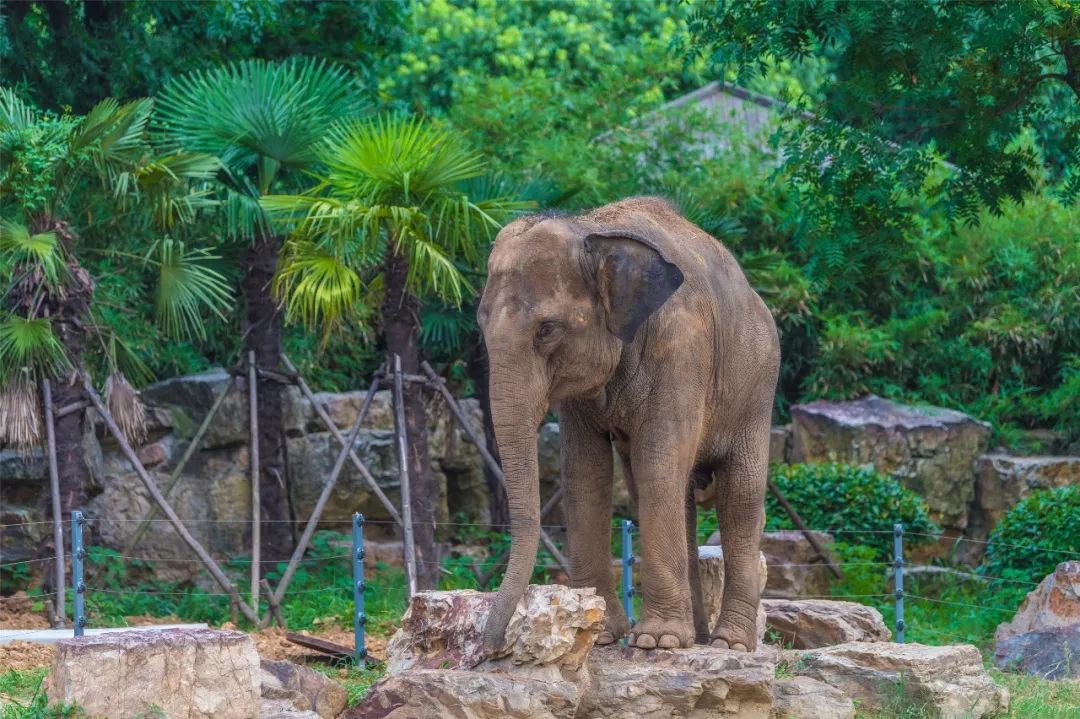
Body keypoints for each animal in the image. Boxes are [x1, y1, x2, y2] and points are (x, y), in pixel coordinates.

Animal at [479, 194, 777, 647]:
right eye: (480, 321)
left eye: (547, 329)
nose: (490, 647)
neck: (591, 229)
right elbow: (585, 473)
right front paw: (601, 634)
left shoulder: (682, 348)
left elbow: (657, 462)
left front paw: (657, 641)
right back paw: (698, 637)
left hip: (757, 392)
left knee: (739, 495)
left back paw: (729, 643)